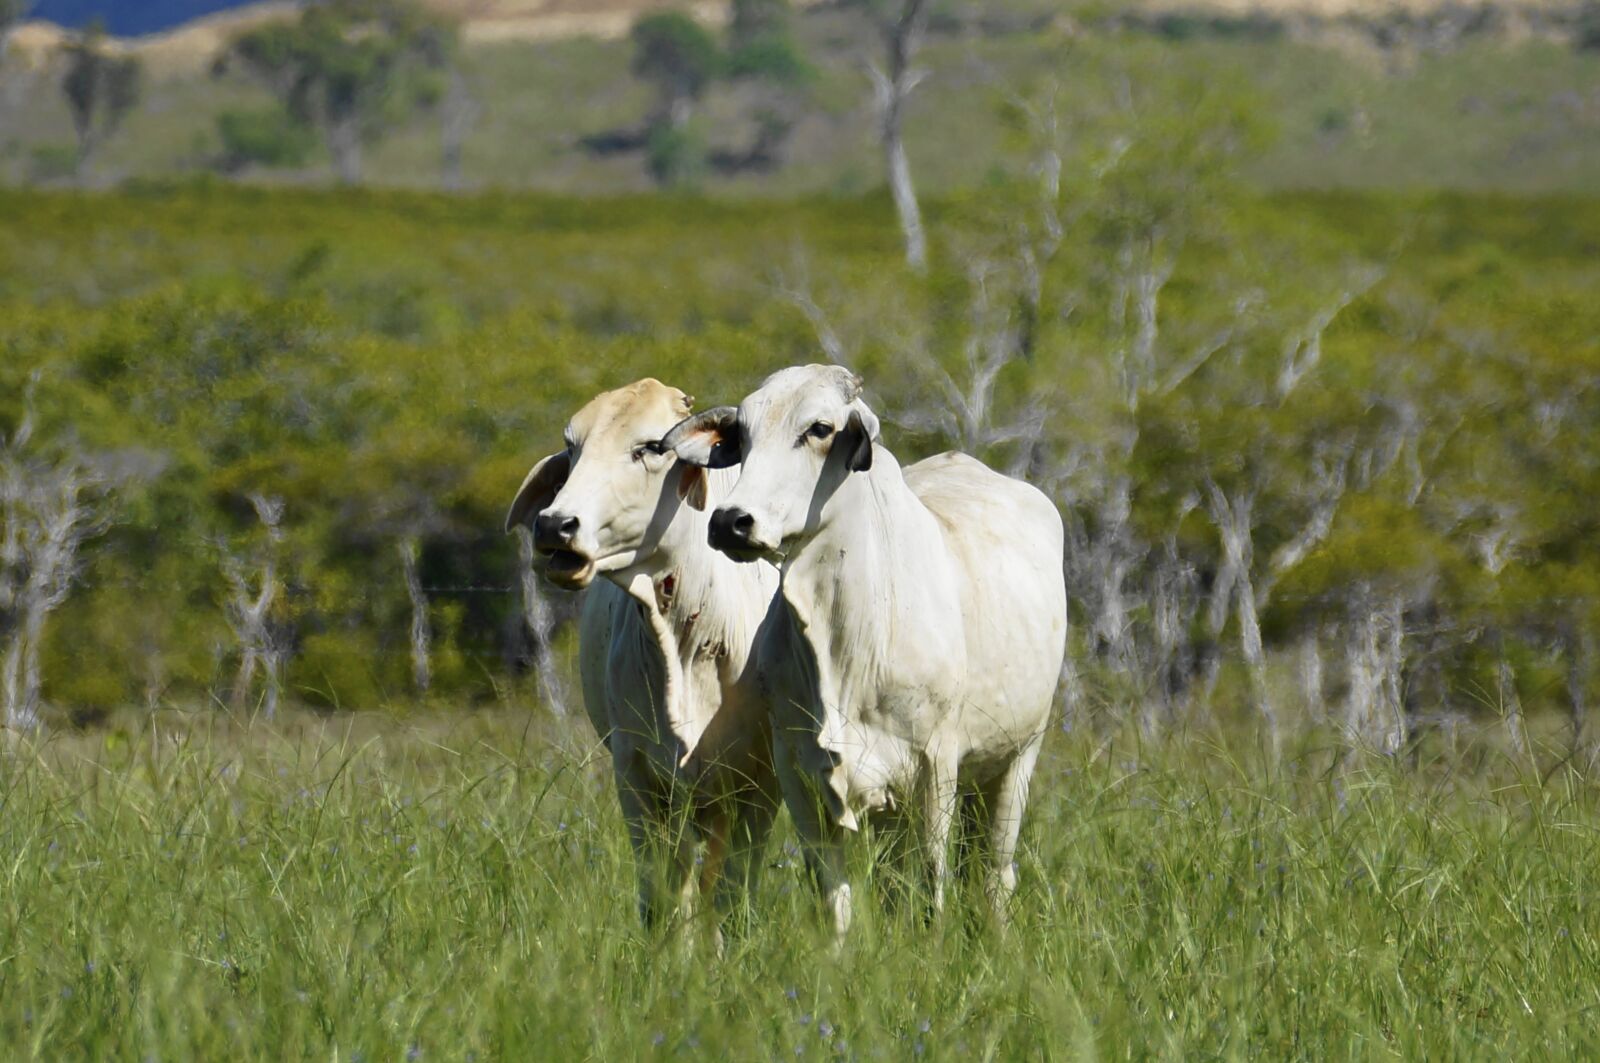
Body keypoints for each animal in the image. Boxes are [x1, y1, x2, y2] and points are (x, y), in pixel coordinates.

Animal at [505, 377, 780, 934]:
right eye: (573, 447)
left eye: (652, 447)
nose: (554, 525)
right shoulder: (636, 778)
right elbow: (662, 899)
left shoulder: (759, 784)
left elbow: (734, 894)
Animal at [662, 363, 1062, 941]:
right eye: (742, 435)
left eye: (820, 429)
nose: (730, 521)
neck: (845, 641)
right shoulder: (800, 773)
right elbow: (834, 895)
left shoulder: (935, 766)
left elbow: (932, 882)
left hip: (1017, 759)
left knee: (993, 875)